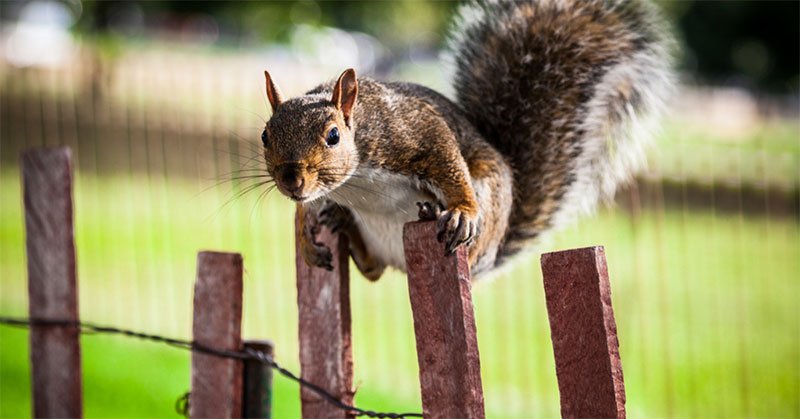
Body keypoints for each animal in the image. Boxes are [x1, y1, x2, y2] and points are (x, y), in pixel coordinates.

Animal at [260, 0, 672, 282]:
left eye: (333, 136)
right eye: (265, 135)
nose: (292, 180)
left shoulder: (417, 133)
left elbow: (448, 162)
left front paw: (462, 210)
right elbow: (305, 209)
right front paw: (302, 235)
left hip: (488, 202)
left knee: (463, 259)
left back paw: (441, 219)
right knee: (373, 268)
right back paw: (344, 224)